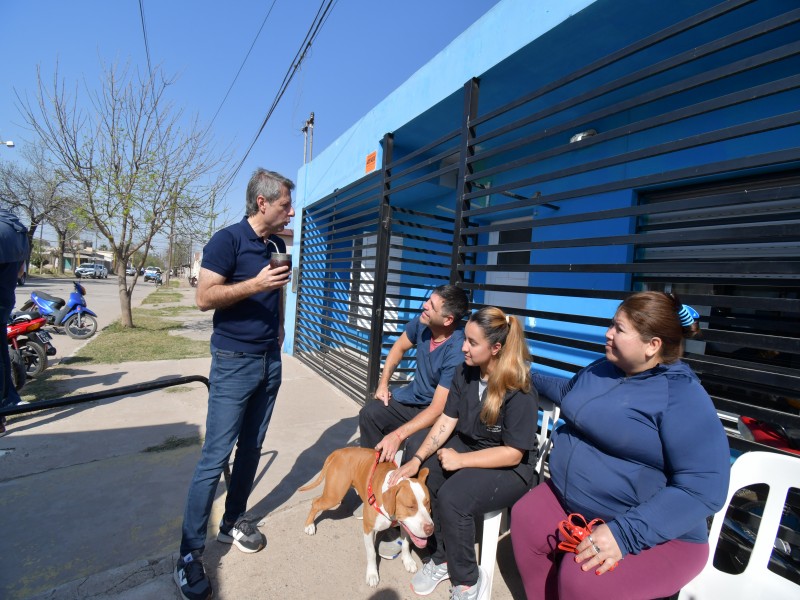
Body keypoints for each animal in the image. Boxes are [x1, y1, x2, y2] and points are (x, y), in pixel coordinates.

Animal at [300, 446, 434, 584]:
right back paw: (309, 526)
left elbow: (406, 544)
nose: (430, 529)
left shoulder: (405, 525)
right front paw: (372, 574)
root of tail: (339, 451)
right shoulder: (369, 529)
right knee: (315, 503)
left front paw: (408, 561)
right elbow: (371, 553)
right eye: (410, 507)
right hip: (333, 496)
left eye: (428, 504)